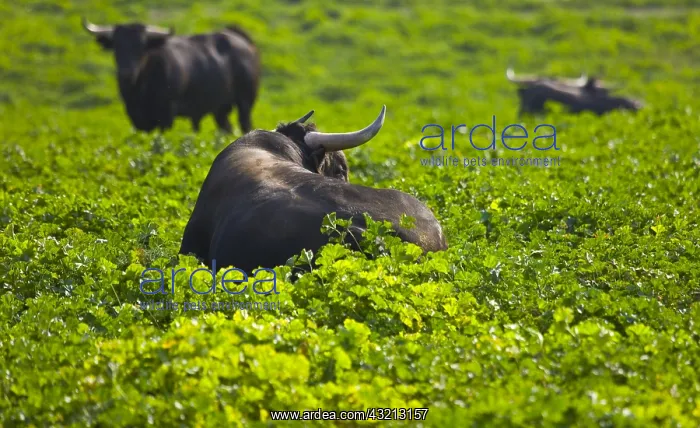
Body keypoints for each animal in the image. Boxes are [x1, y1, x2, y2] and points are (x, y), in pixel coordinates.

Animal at [81, 18, 260, 134]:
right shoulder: (136, 118)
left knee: (245, 124)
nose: (127, 72)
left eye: (141, 46)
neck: (140, 90)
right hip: (220, 109)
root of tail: (239, 38)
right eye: (117, 45)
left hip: (245, 102)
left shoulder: (166, 114)